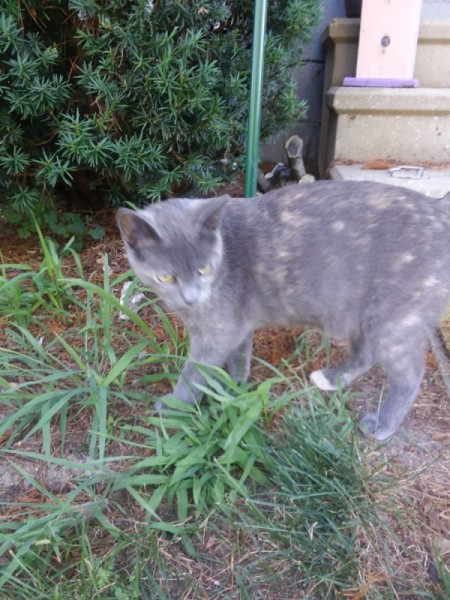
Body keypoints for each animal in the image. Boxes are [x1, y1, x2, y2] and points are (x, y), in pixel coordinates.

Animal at [117, 180, 450, 438]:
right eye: (165, 277)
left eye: (204, 269)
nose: (191, 298)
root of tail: (438, 209)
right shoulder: (235, 322)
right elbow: (239, 355)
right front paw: (235, 387)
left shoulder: (217, 330)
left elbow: (195, 371)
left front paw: (175, 405)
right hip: (359, 313)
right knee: (365, 352)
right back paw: (331, 378)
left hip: (393, 318)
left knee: (409, 373)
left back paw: (382, 424)